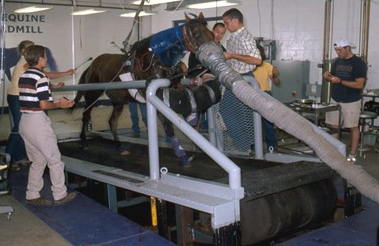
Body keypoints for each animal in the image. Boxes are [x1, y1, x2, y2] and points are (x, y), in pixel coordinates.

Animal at [73, 13, 220, 167]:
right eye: (197, 35)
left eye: (211, 34)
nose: (216, 53)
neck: (156, 60)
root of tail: (92, 65)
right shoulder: (156, 94)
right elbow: (168, 125)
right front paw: (182, 155)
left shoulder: (174, 86)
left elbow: (187, 95)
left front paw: (192, 117)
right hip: (92, 94)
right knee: (85, 115)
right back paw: (82, 141)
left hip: (118, 101)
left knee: (112, 121)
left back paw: (119, 147)